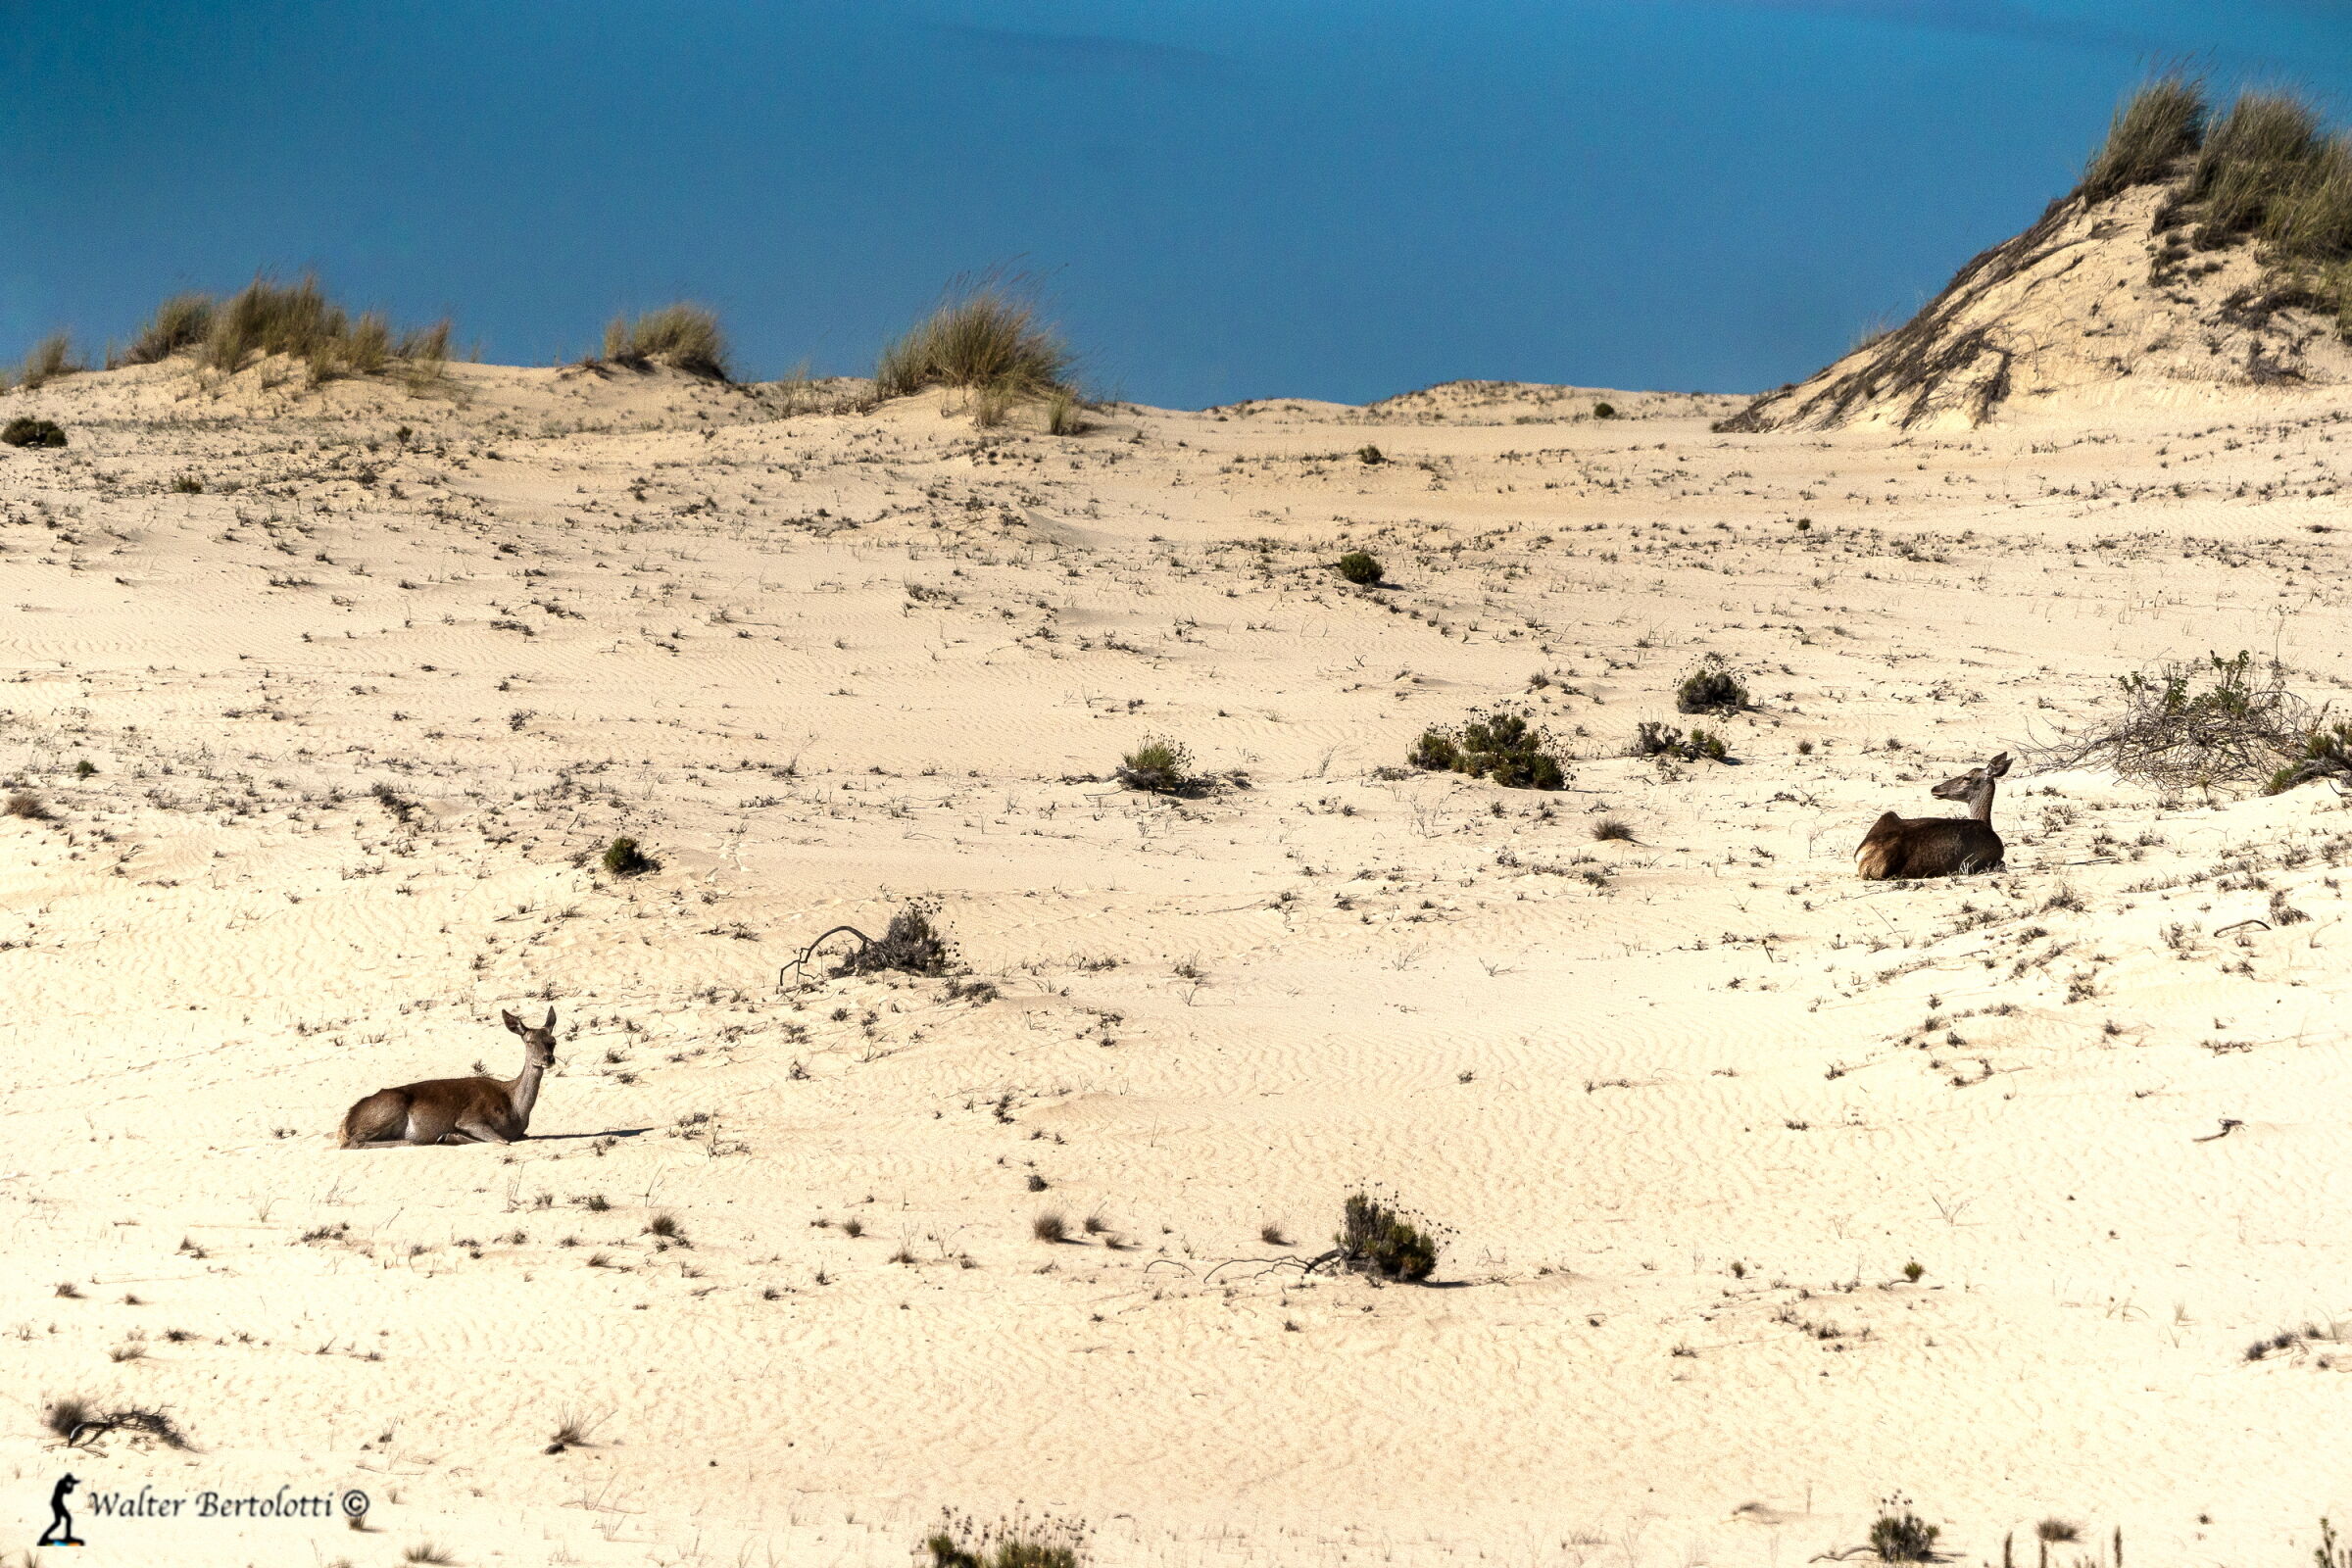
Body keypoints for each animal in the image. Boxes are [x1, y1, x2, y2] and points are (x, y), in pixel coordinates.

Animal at [339, 1008, 556, 1147]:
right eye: (529, 1041)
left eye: (553, 1041)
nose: (548, 1058)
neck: (516, 1109)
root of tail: (347, 1121)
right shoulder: (470, 1119)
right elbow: (502, 1140)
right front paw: (448, 1136)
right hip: (388, 1109)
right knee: (354, 1142)